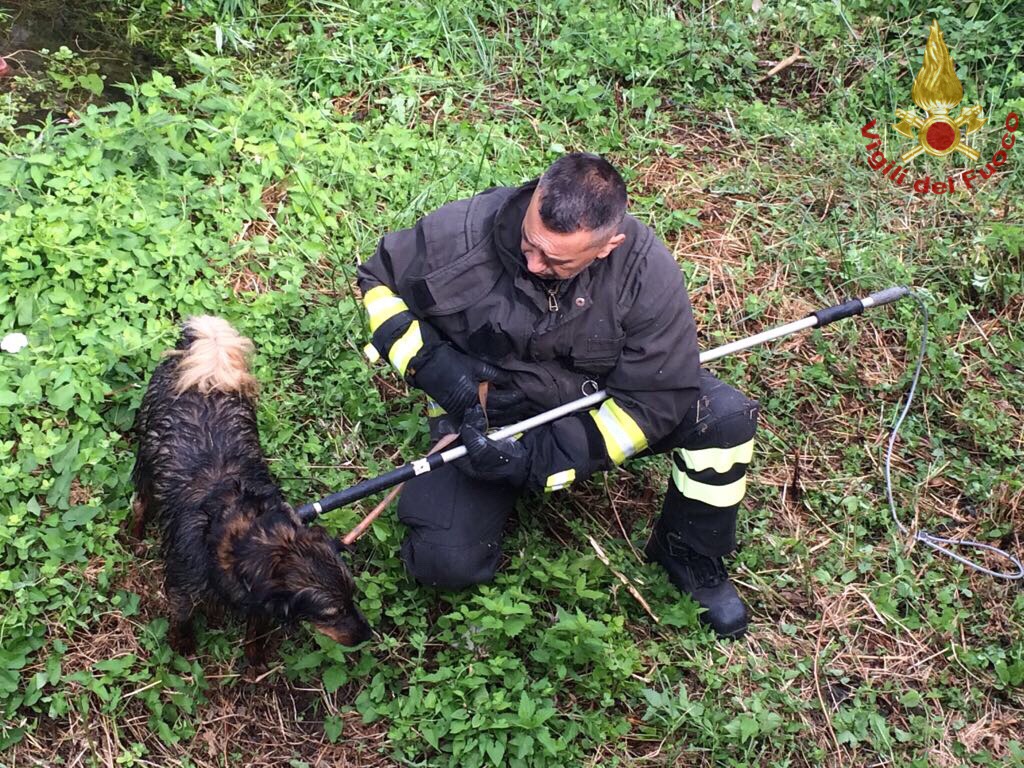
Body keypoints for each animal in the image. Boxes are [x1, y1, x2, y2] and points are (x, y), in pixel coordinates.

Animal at [130, 315, 372, 663]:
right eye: (331, 612)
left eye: (352, 596)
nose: (368, 635)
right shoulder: (182, 588)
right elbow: (182, 618)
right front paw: (182, 646)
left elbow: (256, 629)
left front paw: (255, 658)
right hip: (146, 465)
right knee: (139, 503)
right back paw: (135, 536)